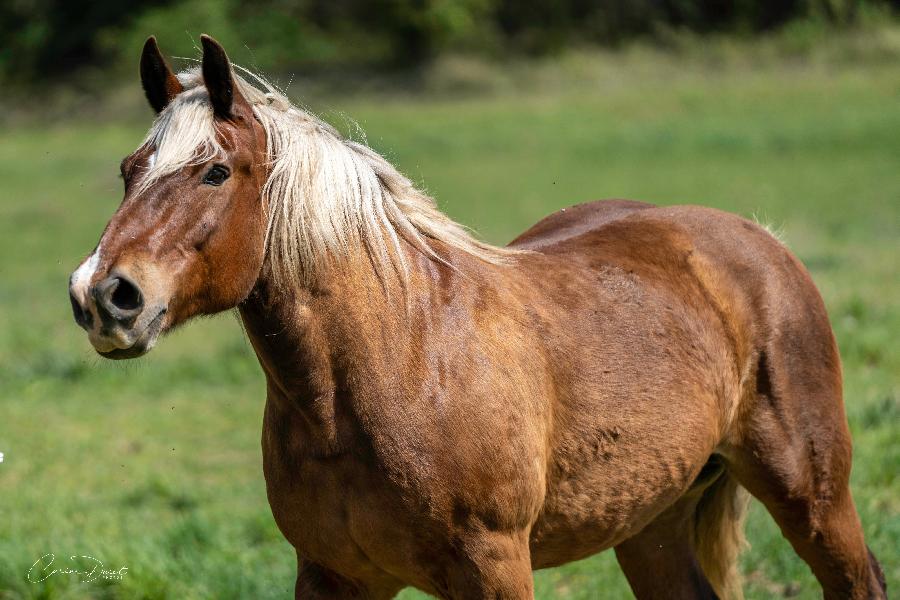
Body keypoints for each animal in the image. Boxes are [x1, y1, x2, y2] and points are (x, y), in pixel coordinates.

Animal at [70, 37, 884, 600]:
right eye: (128, 170)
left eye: (214, 171)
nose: (103, 296)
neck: (394, 364)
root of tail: (758, 240)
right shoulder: (333, 575)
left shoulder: (493, 567)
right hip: (651, 519)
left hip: (810, 494)